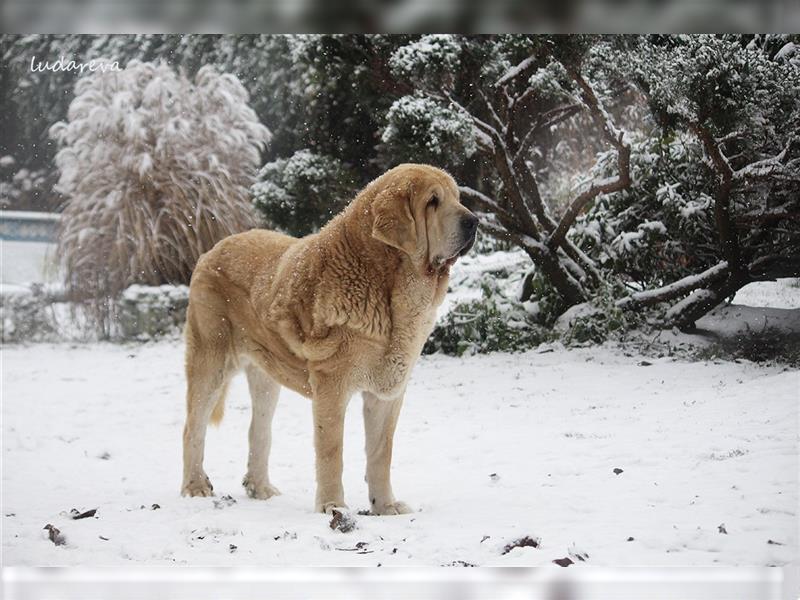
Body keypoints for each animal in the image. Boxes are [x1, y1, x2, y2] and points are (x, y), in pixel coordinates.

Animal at [181, 164, 478, 516]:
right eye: (433, 201)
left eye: (457, 198)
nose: (474, 221)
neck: (385, 284)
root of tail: (212, 249)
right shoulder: (332, 387)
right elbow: (331, 451)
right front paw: (332, 506)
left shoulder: (386, 395)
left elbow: (381, 453)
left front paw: (385, 507)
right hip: (211, 363)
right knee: (193, 427)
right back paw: (195, 486)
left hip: (266, 378)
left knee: (259, 431)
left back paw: (260, 488)